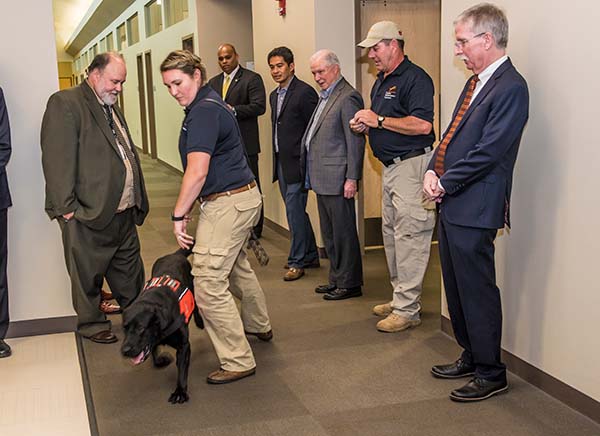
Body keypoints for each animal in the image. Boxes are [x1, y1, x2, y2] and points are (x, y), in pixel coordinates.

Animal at [120, 249, 203, 406]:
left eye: (140, 328)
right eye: (125, 328)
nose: (125, 351)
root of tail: (175, 254)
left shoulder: (184, 345)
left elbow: (182, 370)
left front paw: (180, 392)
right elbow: (153, 352)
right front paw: (160, 360)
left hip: (193, 286)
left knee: (196, 304)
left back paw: (200, 321)